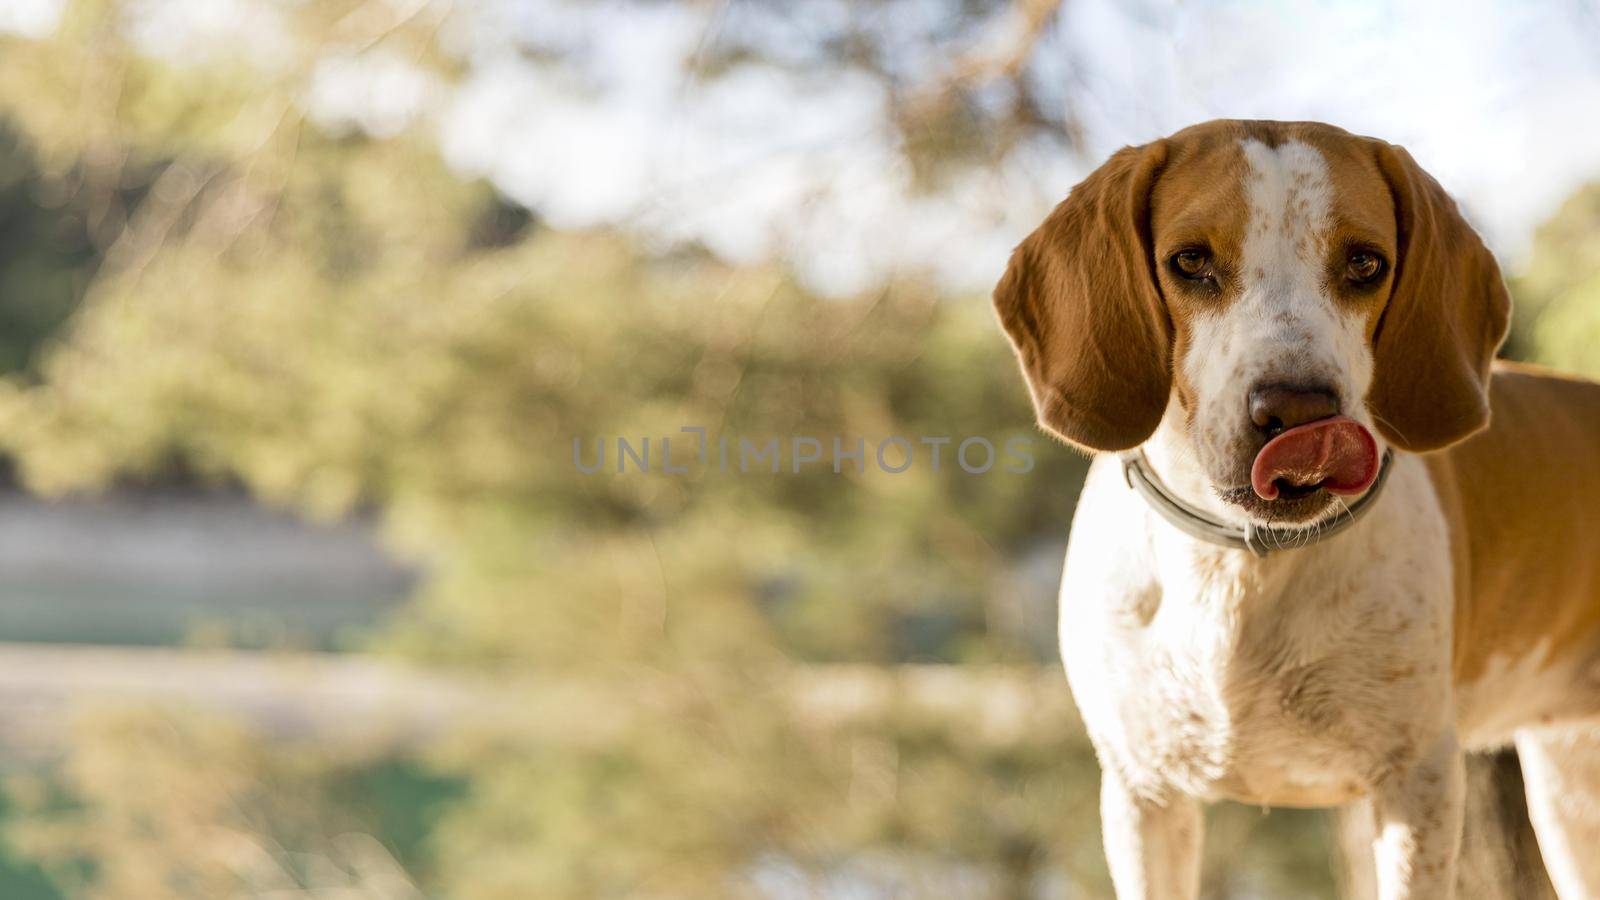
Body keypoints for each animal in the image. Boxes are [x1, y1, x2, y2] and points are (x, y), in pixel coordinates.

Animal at [992, 119, 1600, 896]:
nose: (1300, 412)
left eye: (1365, 263)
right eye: (1190, 261)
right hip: (1568, 796)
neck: (1237, 568)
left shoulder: (1418, 789)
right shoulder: (1142, 795)